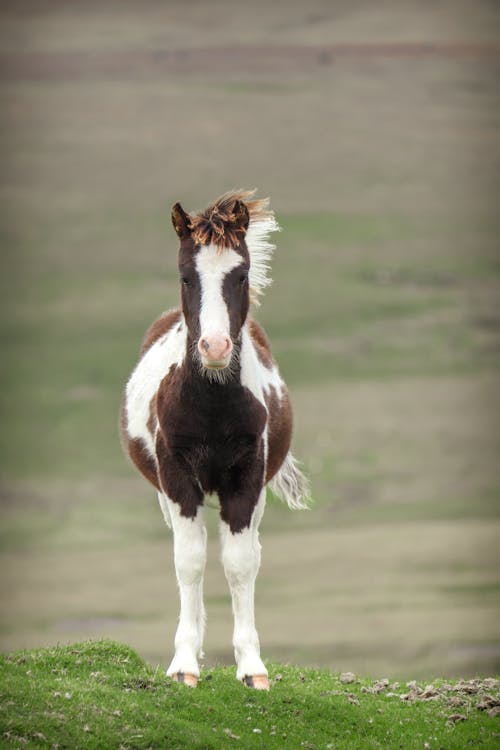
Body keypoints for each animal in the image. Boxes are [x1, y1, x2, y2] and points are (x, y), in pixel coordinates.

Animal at [121, 189, 308, 692]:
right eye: (186, 276)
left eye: (240, 275)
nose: (216, 348)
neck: (212, 404)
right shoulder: (177, 478)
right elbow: (189, 561)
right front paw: (185, 664)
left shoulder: (246, 478)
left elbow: (240, 563)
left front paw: (252, 668)